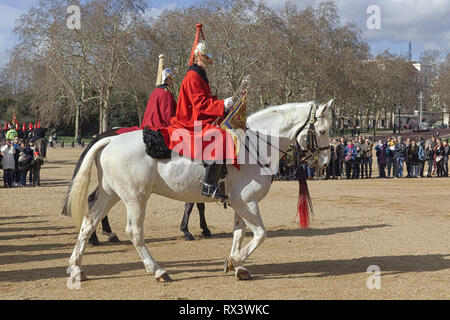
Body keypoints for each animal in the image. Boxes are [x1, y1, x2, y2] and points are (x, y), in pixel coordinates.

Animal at [62, 129, 214, 244]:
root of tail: (105, 137)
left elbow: (198, 205)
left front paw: (202, 229)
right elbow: (191, 206)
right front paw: (188, 230)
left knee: (94, 200)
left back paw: (104, 234)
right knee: (94, 200)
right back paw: (96, 237)